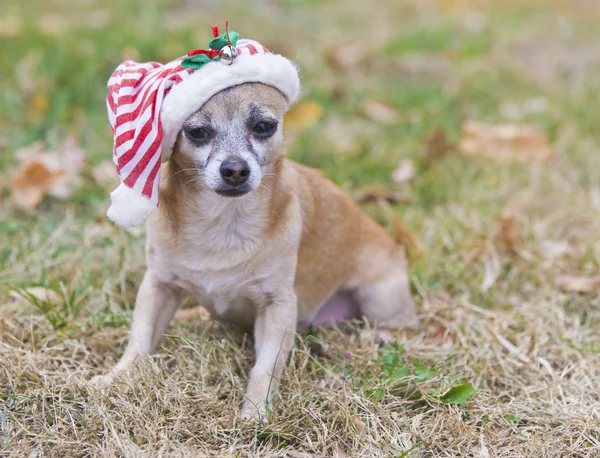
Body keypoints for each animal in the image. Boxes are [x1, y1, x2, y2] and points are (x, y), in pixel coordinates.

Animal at [94, 81, 418, 418]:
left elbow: (266, 366)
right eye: (197, 132)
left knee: (407, 326)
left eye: (263, 126)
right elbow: (140, 338)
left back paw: (378, 336)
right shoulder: (158, 286)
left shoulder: (277, 305)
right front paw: (117, 378)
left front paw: (256, 410)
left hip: (379, 297)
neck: (224, 223)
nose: (235, 168)